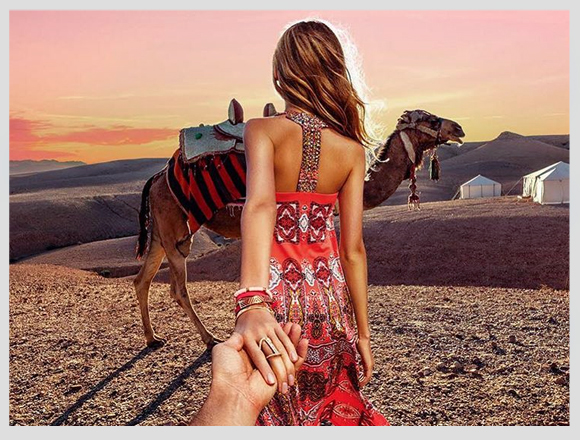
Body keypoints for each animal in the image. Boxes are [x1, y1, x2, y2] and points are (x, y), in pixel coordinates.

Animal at [134, 105, 464, 348]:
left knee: (142, 279)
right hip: (175, 226)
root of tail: (158, 177)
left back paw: (152, 338)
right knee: (177, 288)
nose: (458, 128)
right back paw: (209, 339)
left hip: (161, 231)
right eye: (430, 119)